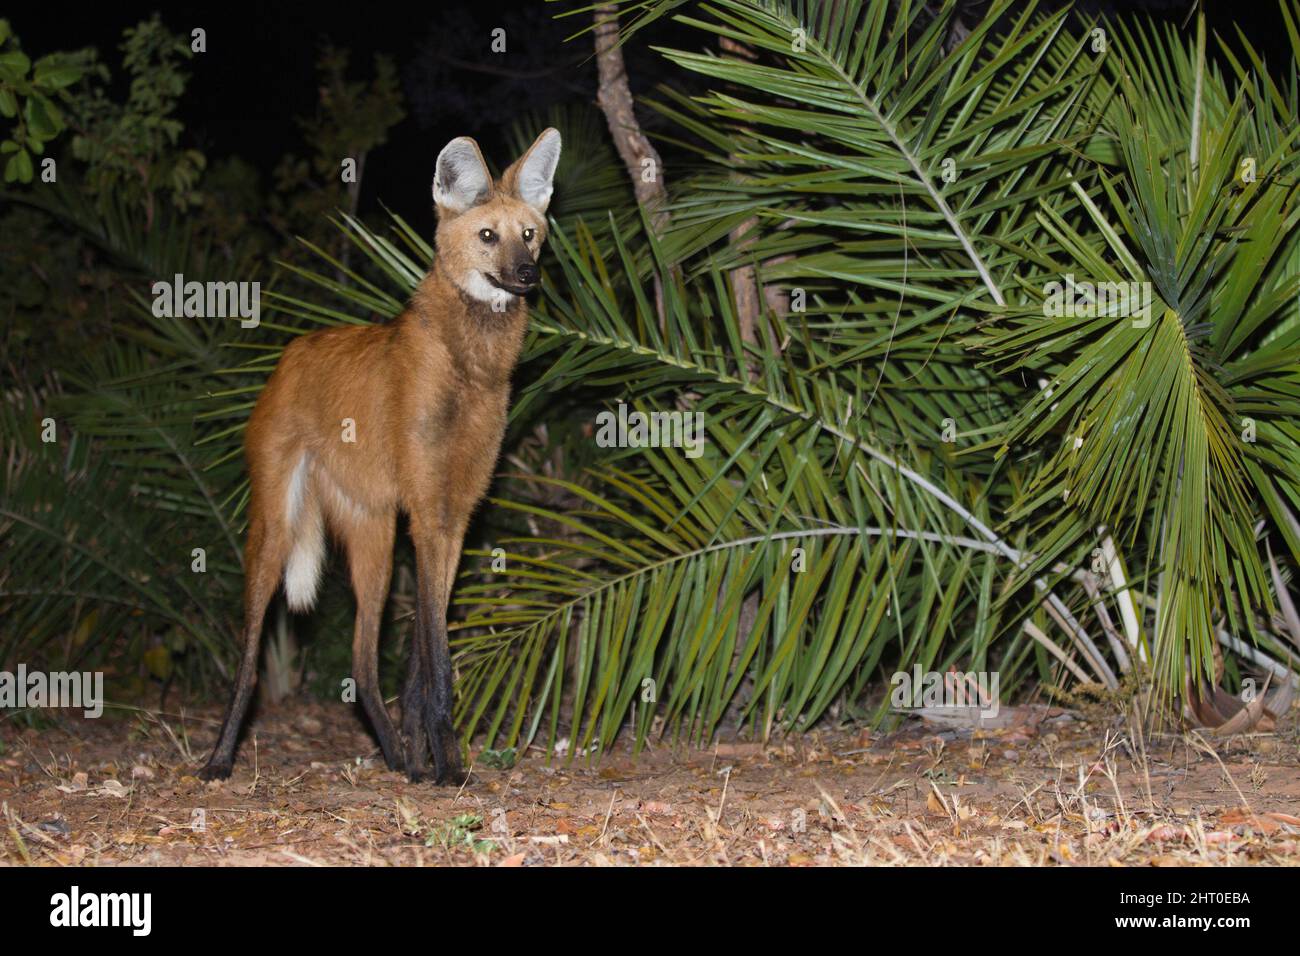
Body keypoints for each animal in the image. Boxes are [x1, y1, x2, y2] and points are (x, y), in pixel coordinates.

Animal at [200, 127, 561, 785]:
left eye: (528, 233)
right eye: (487, 236)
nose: (527, 274)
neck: (471, 369)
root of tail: (289, 354)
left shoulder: (452, 517)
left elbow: (420, 659)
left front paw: (425, 761)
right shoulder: (427, 512)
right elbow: (437, 657)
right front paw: (450, 767)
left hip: (375, 535)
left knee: (362, 663)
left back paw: (396, 757)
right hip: (276, 526)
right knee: (250, 657)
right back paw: (219, 758)